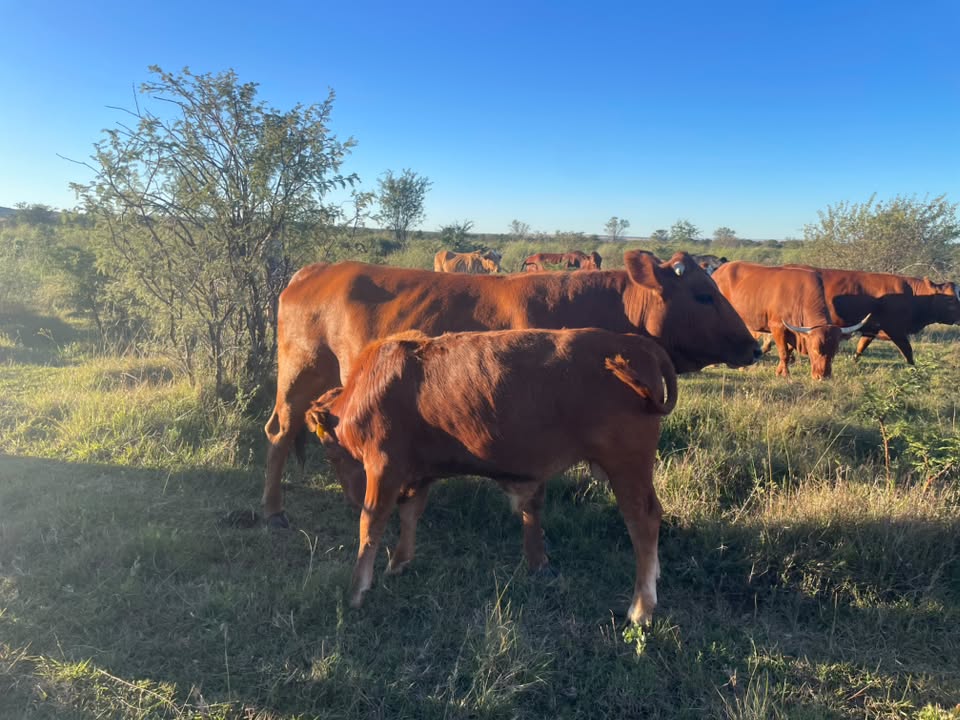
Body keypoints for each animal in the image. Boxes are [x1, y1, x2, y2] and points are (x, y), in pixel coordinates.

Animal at [264, 250, 761, 526]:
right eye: (703, 295)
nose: (755, 345)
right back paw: (274, 511)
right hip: (297, 374)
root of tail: (315, 270)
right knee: (280, 434)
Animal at [305, 328, 677, 624]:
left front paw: (357, 589)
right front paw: (398, 562)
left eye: (330, 452)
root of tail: (635, 343)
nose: (351, 499)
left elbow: (371, 525)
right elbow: (410, 514)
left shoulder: (384, 466)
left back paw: (641, 607)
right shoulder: (419, 473)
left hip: (626, 466)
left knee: (642, 520)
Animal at [711, 261, 870, 379]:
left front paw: (779, 371)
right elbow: (784, 353)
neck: (800, 296)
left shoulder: (795, 332)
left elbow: (788, 350)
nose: (823, 376)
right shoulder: (777, 327)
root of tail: (720, 270)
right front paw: (785, 374)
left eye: (834, 351)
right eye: (815, 349)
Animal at [784, 265, 960, 364]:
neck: (912, 295)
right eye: (950, 299)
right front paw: (913, 369)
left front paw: (854, 361)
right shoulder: (896, 330)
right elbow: (908, 351)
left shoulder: (871, 328)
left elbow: (861, 347)